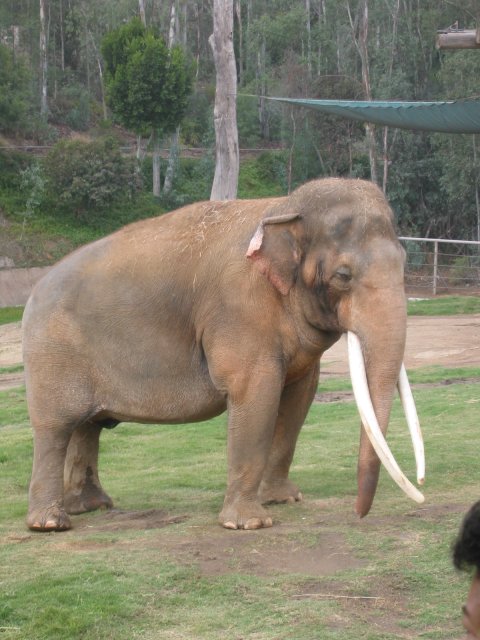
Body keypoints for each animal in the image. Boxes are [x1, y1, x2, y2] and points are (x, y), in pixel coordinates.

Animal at [22, 178, 424, 532]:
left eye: (404, 263)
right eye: (343, 275)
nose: (359, 515)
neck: (283, 208)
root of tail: (33, 290)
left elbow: (299, 397)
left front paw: (284, 499)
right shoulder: (238, 310)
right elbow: (256, 394)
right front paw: (249, 523)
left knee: (87, 426)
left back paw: (93, 506)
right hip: (51, 354)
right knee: (55, 427)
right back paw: (50, 524)